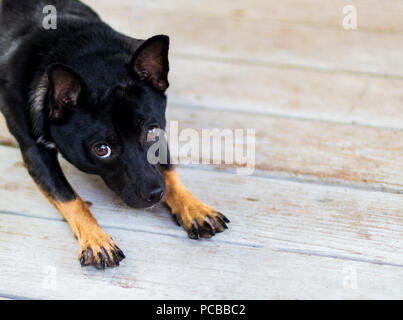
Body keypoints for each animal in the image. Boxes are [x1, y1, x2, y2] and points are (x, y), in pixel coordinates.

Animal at [0, 0, 230, 268]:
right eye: (102, 150)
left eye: (152, 131)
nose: (155, 194)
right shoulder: (35, 153)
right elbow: (69, 197)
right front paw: (96, 240)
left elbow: (169, 171)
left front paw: (193, 207)